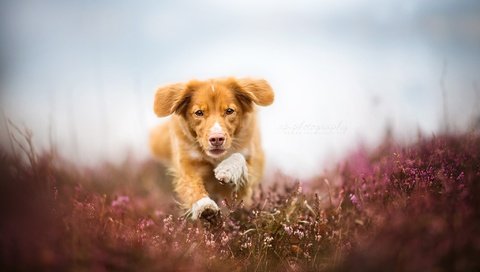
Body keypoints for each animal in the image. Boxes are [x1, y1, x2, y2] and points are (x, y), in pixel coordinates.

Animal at [150, 77, 276, 221]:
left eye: (229, 111)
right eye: (199, 113)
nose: (216, 139)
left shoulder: (248, 175)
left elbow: (239, 157)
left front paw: (226, 169)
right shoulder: (187, 162)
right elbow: (192, 185)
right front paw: (204, 206)